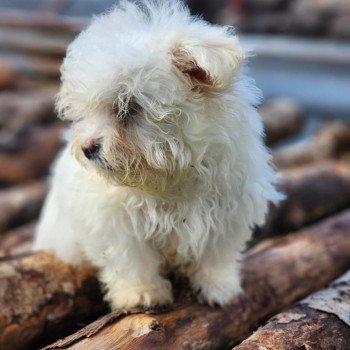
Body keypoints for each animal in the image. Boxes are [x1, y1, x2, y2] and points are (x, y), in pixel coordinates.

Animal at [34, 0, 284, 308]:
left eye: (128, 106)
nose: (87, 147)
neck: (174, 174)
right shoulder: (115, 218)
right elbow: (132, 257)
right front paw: (142, 293)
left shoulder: (228, 208)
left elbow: (216, 253)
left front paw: (218, 286)